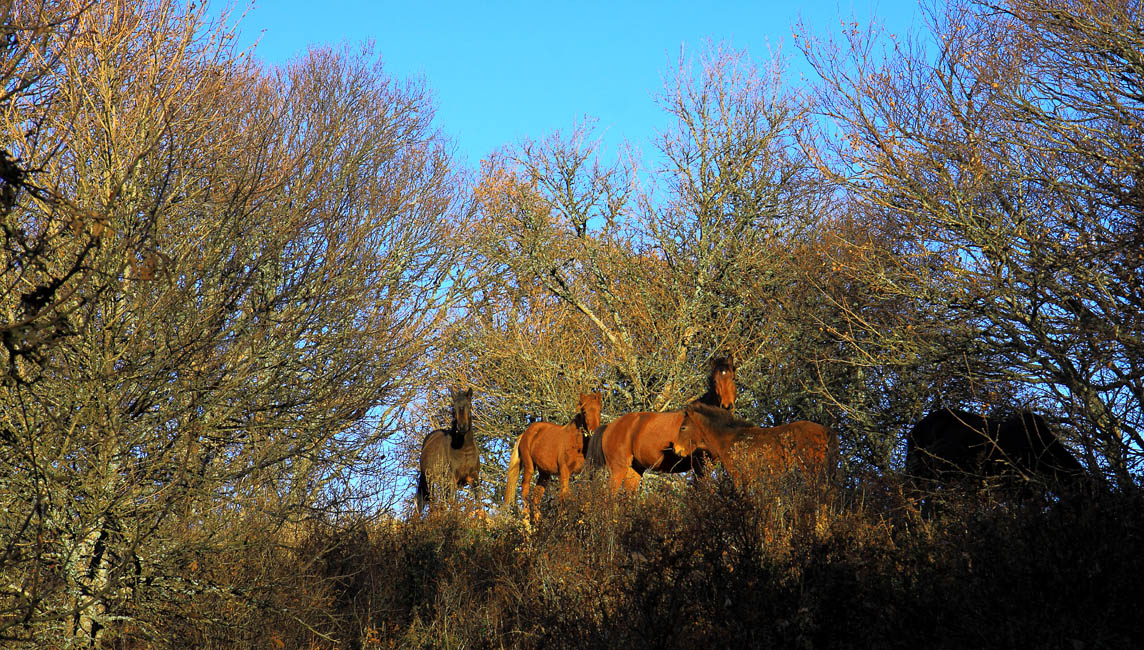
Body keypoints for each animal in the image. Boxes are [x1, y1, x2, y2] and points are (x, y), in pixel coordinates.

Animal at [503, 391, 604, 524]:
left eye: (599, 410)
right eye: (584, 411)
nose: (594, 432)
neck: (577, 444)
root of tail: (525, 434)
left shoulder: (586, 473)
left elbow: (585, 494)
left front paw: (583, 521)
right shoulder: (565, 471)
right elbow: (564, 495)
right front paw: (562, 522)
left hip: (544, 474)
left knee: (536, 496)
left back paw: (537, 523)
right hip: (530, 467)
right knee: (525, 489)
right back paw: (527, 522)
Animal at [585, 354, 736, 492]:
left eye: (733, 378)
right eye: (715, 381)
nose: (727, 406)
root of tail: (609, 426)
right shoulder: (700, 465)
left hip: (634, 470)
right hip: (618, 469)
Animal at [672, 400, 837, 487]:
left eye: (683, 427)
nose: (676, 449)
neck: (729, 437)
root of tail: (827, 430)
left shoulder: (738, 476)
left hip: (811, 471)